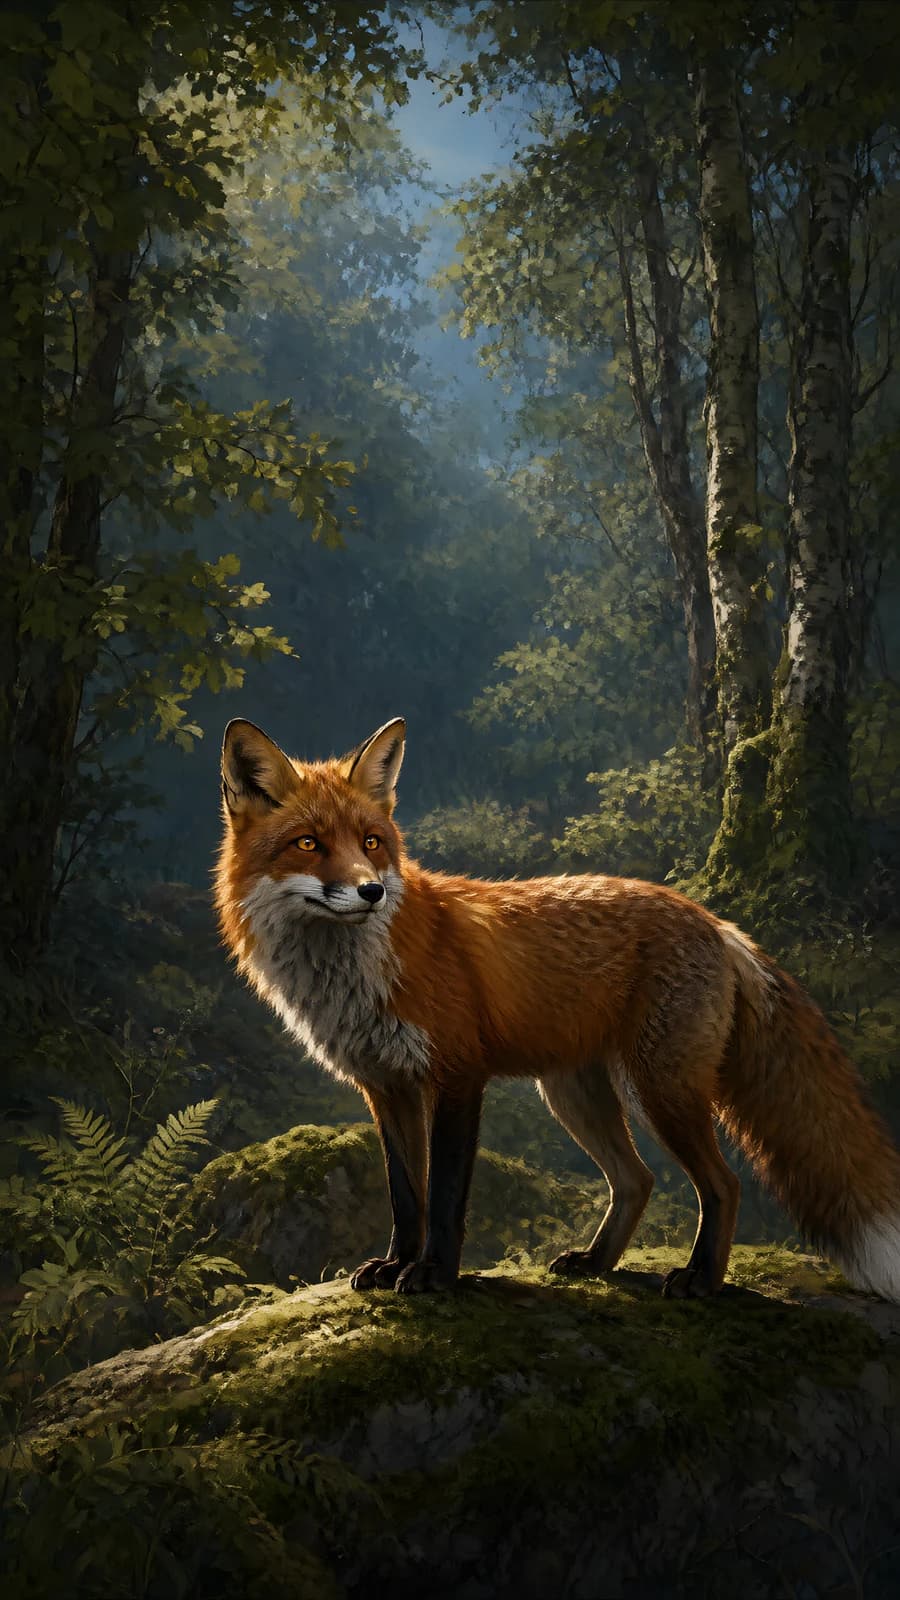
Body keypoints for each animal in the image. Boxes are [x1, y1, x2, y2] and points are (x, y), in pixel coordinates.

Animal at [215, 715, 900, 1302]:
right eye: (308, 843)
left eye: (372, 841)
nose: (371, 890)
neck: (355, 976)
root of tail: (714, 920)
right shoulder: (388, 1088)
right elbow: (406, 1196)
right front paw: (395, 1265)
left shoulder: (458, 1075)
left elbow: (445, 1196)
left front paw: (434, 1274)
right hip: (575, 1094)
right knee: (637, 1180)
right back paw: (597, 1263)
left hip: (659, 1089)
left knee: (722, 1184)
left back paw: (700, 1279)